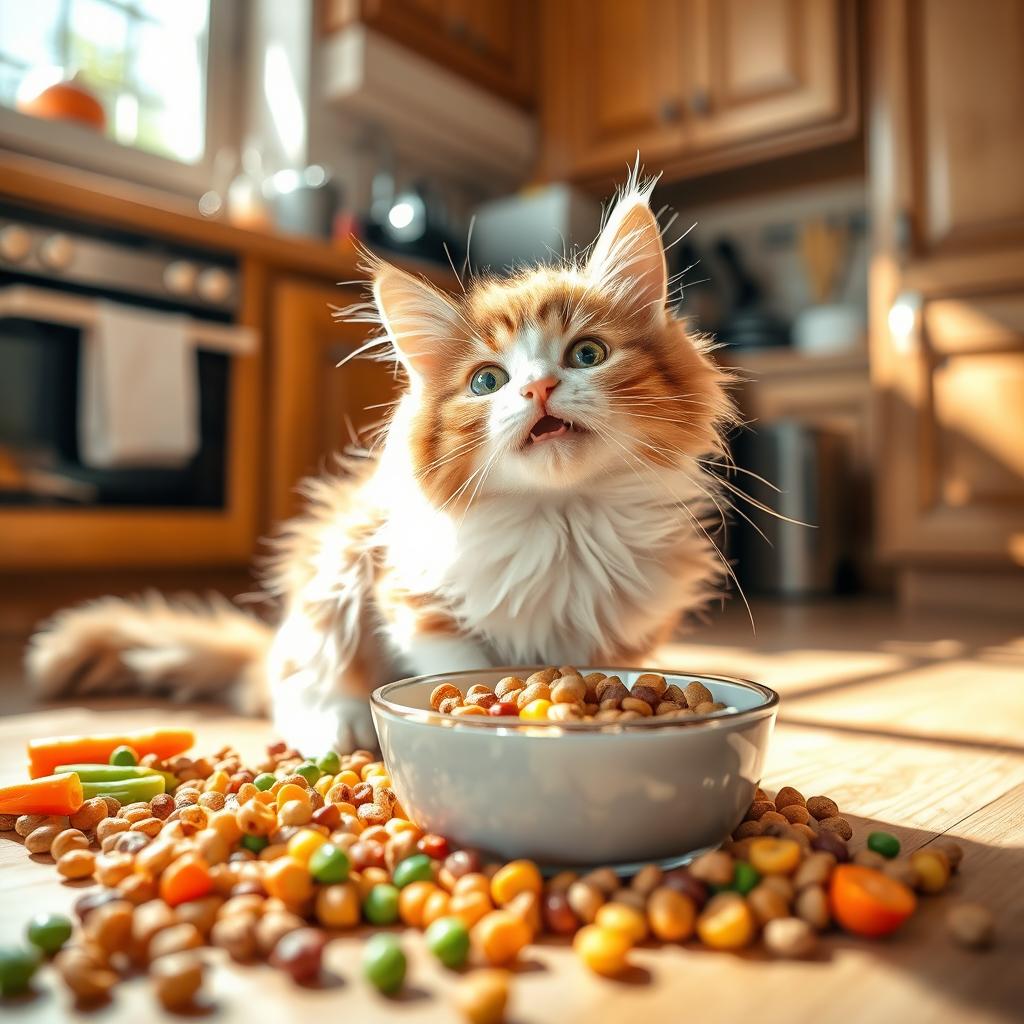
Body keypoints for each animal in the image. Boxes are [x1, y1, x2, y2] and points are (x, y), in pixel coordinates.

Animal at [25, 176, 737, 753]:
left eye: (588, 354)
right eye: (487, 381)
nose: (538, 388)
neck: (561, 519)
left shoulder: (625, 631)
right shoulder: (408, 587)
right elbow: (453, 658)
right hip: (335, 567)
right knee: (295, 687)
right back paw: (339, 724)